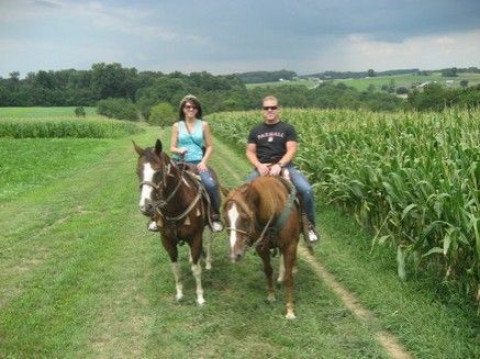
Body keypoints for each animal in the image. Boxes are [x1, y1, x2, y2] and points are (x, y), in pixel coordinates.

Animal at [132, 139, 213, 306]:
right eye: (138, 172)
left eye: (158, 172)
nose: (145, 206)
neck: (176, 207)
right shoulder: (167, 240)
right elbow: (175, 268)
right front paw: (180, 293)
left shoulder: (196, 238)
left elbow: (197, 269)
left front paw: (200, 297)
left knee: (209, 242)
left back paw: (209, 262)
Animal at [223, 176, 302, 320]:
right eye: (225, 218)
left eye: (245, 218)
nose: (234, 255)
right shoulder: (261, 248)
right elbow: (268, 270)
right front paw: (271, 295)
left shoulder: (290, 244)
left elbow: (289, 278)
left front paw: (290, 310)